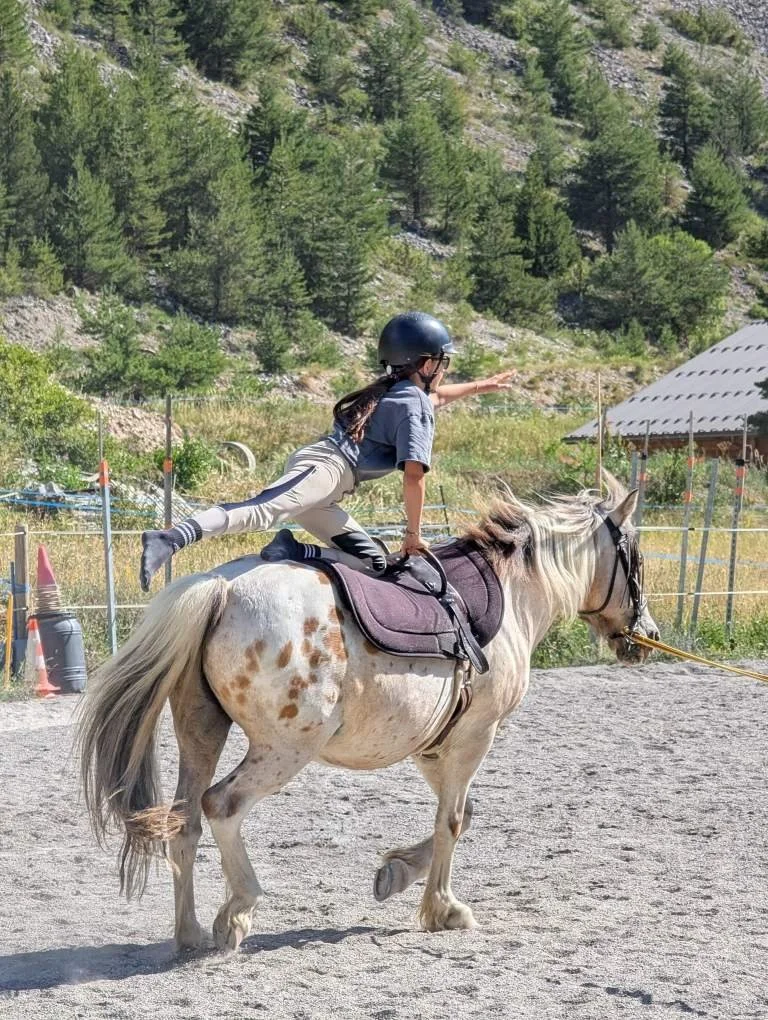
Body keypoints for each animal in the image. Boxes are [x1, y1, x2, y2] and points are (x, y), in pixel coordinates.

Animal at [77, 476, 659, 952]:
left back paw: (190, 933)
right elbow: (452, 821)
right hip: (286, 748)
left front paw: (396, 874)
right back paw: (238, 911)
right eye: (635, 557)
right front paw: (443, 909)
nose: (647, 634)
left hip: (201, 731)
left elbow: (463, 814)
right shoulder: (475, 734)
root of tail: (222, 586)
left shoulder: (434, 744)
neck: (512, 592)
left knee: (185, 822)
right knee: (221, 805)